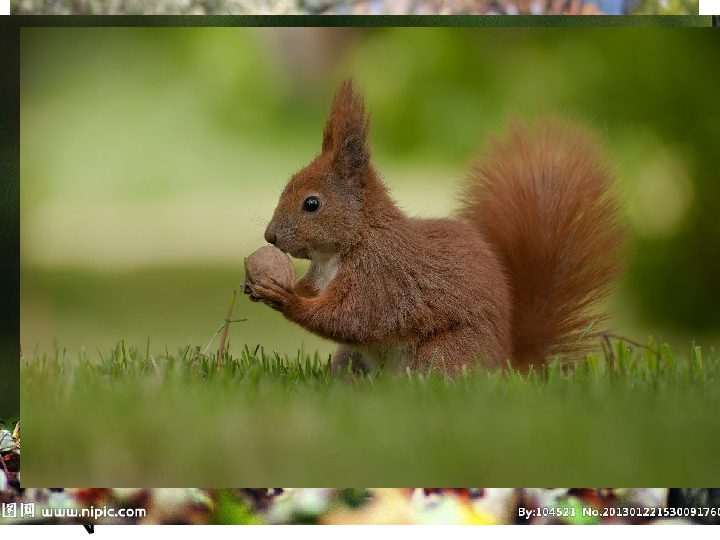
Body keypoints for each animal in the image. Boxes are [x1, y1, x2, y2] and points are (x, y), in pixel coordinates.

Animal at [246, 79, 624, 376]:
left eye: (312, 204)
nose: (270, 236)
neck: (343, 249)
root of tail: (505, 366)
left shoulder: (381, 276)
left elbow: (353, 318)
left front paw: (287, 299)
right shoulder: (323, 277)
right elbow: (314, 293)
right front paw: (260, 285)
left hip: (442, 353)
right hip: (350, 361)